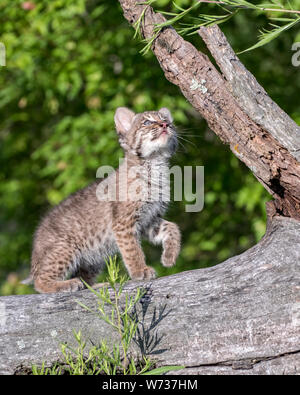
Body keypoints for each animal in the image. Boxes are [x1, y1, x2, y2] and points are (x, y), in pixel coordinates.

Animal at [23, 106, 180, 292]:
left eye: (166, 120)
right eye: (147, 122)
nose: (165, 125)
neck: (154, 163)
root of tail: (34, 253)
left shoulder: (149, 219)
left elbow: (172, 227)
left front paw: (170, 256)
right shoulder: (123, 223)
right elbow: (132, 250)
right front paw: (140, 271)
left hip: (93, 256)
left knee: (84, 278)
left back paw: (98, 285)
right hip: (66, 248)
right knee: (40, 281)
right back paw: (65, 284)